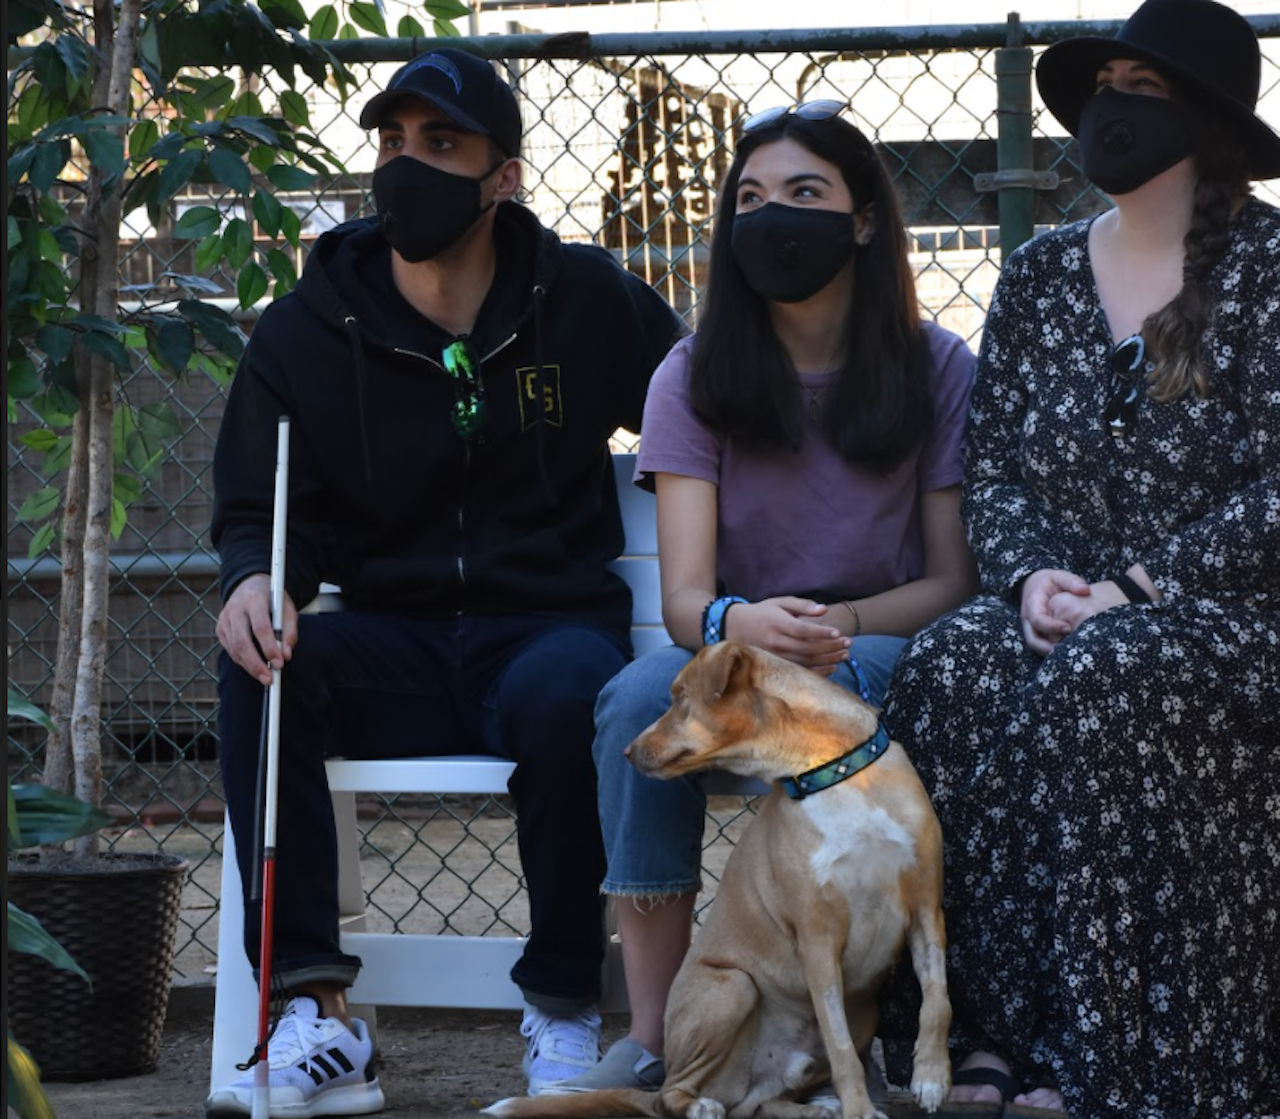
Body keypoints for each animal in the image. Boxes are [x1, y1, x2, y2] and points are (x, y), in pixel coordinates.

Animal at [483, 637, 947, 1116]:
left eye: (680, 698)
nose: (627, 752)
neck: (831, 774)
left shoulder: (926, 910)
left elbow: (937, 1001)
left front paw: (931, 1078)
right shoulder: (818, 939)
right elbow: (840, 1051)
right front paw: (859, 1108)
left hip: (861, 1011)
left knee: (760, 1104)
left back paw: (817, 1108)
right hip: (733, 987)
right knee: (672, 1095)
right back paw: (702, 1105)